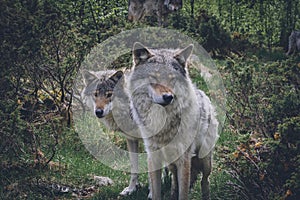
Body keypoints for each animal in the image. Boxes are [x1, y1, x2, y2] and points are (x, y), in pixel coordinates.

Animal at [126, 42, 218, 200]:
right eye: (154, 77)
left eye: (172, 78)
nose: (168, 97)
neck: (163, 125)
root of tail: (204, 96)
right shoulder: (153, 157)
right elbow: (156, 192)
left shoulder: (184, 160)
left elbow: (184, 193)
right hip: (170, 163)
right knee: (175, 179)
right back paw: (172, 192)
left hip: (205, 160)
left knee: (205, 180)